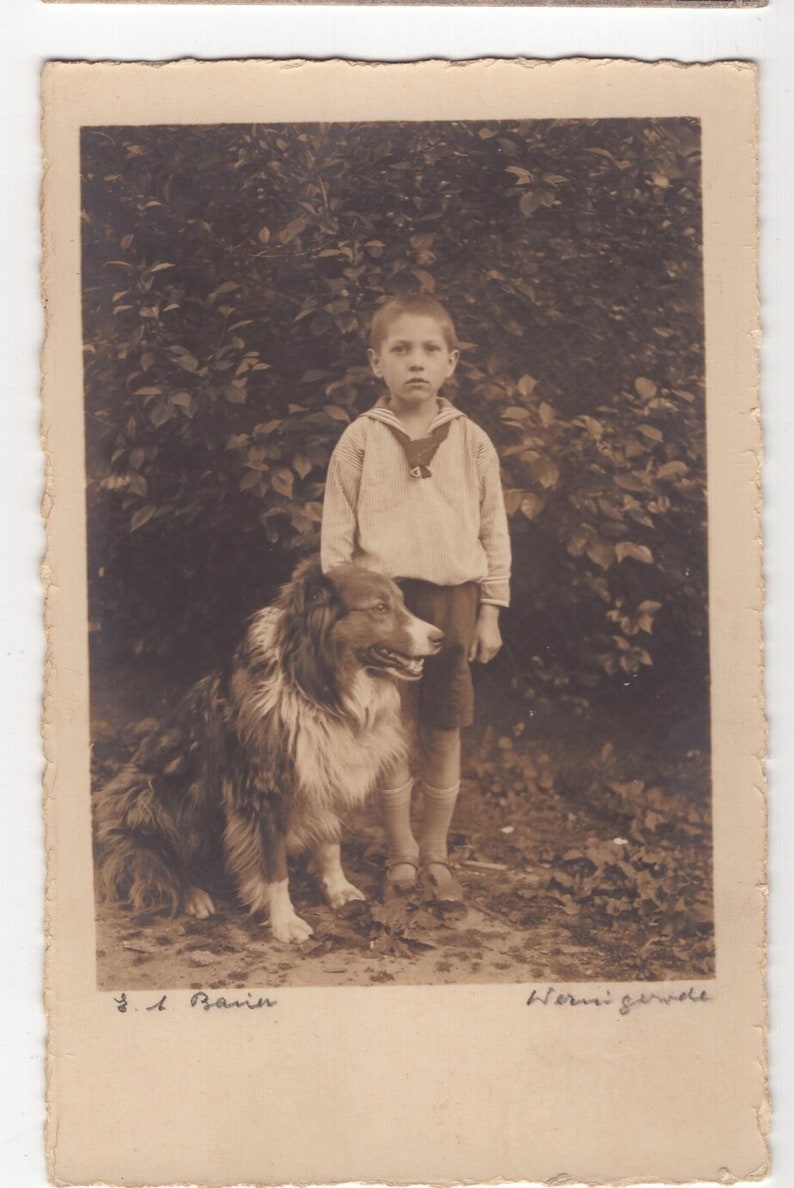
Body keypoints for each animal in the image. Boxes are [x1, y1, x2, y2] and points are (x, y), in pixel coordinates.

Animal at [93, 560, 444, 940]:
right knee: (156, 863)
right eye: (380, 608)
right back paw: (192, 895)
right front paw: (285, 920)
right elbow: (274, 867)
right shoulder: (266, 789)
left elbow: (330, 841)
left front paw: (337, 889)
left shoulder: (326, 774)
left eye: (402, 603)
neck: (314, 686)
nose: (440, 638)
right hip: (158, 795)